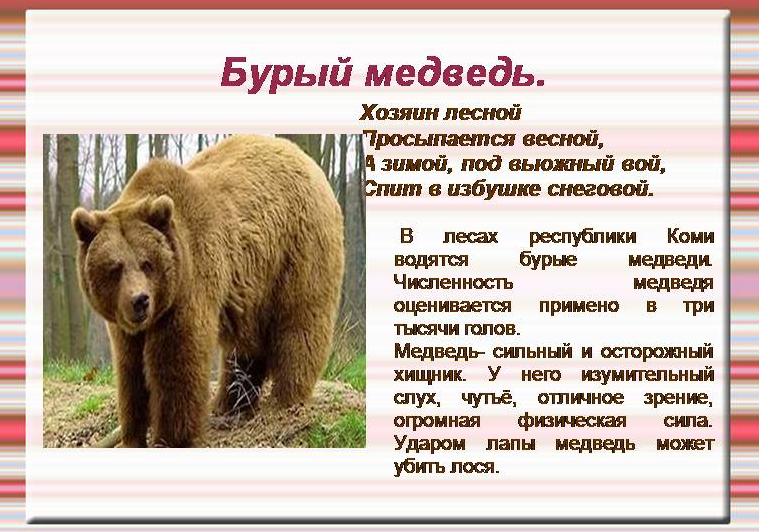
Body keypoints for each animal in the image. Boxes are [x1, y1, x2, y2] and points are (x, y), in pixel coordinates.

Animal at [71, 135, 345, 447]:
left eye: (147, 263)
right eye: (114, 268)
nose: (140, 301)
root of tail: (308, 161)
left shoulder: (188, 285)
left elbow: (177, 362)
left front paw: (172, 436)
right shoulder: (125, 324)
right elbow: (131, 371)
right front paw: (133, 435)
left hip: (298, 250)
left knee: (299, 324)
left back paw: (287, 398)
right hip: (253, 285)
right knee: (246, 346)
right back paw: (231, 403)